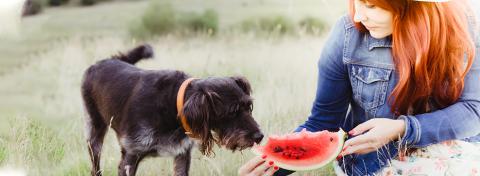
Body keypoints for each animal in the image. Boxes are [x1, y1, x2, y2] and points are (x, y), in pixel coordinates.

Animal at [82, 45, 262, 176]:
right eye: (231, 112)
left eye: (248, 107)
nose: (259, 137)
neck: (171, 105)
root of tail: (104, 61)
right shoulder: (130, 157)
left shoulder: (182, 155)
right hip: (94, 135)